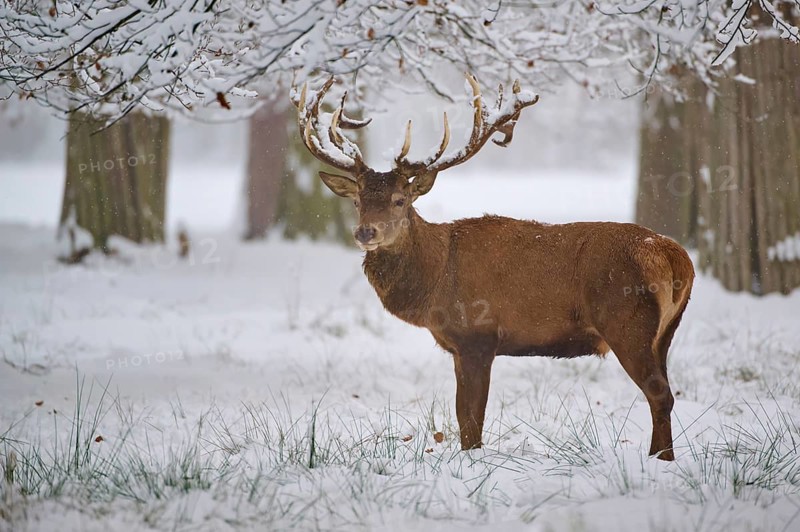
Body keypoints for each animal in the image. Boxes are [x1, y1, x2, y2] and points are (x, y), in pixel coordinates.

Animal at [290, 74, 694, 461]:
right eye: (358, 200)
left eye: (400, 199)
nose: (365, 232)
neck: (435, 280)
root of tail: (677, 259)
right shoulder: (458, 347)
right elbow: (463, 416)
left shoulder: (478, 337)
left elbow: (471, 420)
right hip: (665, 332)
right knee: (666, 392)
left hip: (627, 321)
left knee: (660, 394)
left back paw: (661, 461)